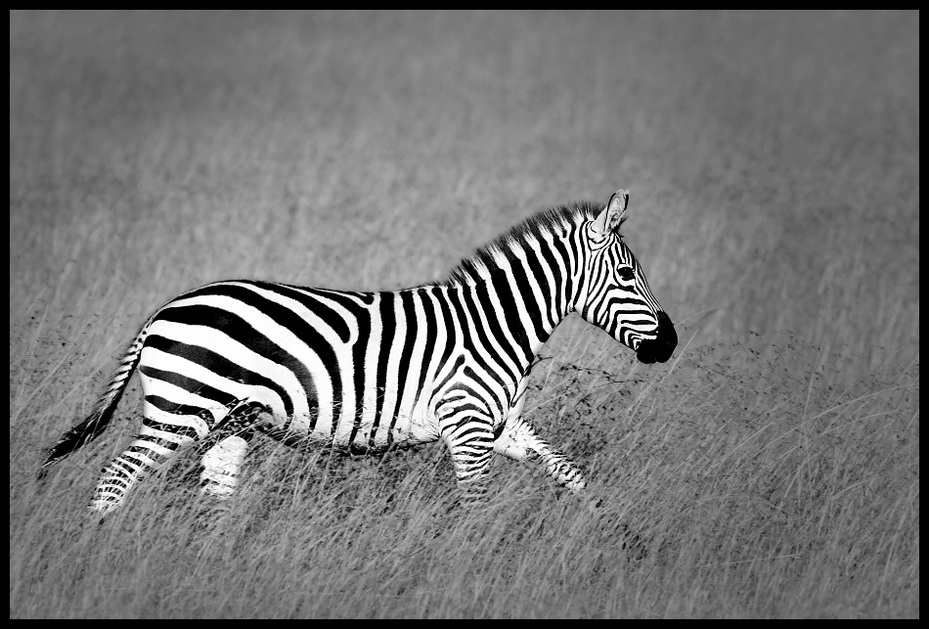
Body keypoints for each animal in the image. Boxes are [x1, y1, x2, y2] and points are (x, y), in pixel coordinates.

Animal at [41, 190, 676, 510]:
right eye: (626, 275)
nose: (670, 344)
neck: (496, 325)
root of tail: (163, 310)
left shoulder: (500, 424)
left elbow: (570, 473)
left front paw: (613, 538)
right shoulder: (467, 425)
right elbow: (476, 503)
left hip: (229, 423)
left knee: (215, 498)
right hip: (183, 409)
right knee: (115, 479)